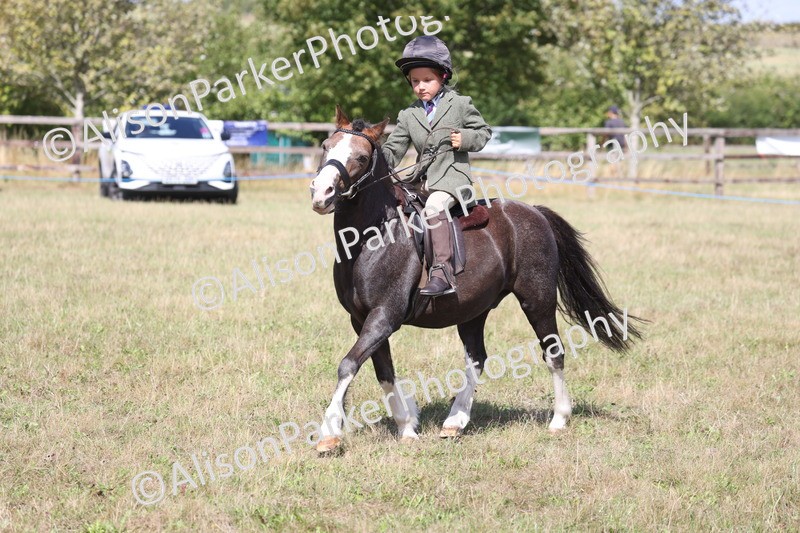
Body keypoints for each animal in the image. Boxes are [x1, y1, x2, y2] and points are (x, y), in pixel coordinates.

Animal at [308, 106, 642, 453]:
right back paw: (455, 421)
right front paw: (407, 424)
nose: (321, 193)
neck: (372, 236)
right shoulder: (362, 320)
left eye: (361, 157)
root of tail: (534, 212)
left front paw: (329, 431)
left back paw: (559, 419)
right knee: (477, 358)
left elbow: (348, 364)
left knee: (553, 352)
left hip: (537, 300)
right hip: (472, 310)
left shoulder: (384, 316)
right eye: (326, 146)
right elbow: (383, 371)